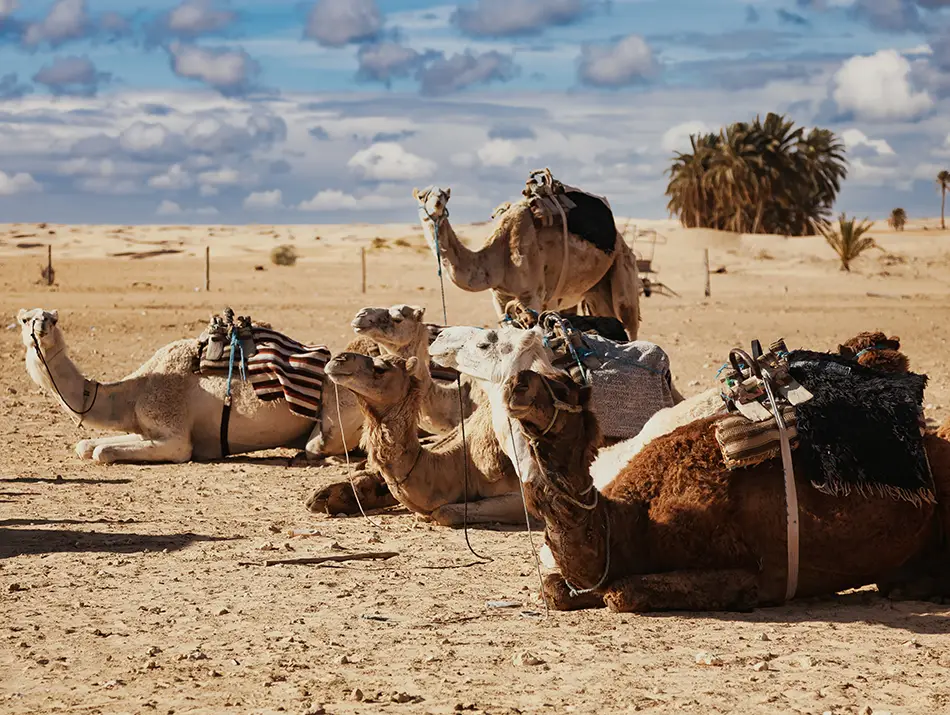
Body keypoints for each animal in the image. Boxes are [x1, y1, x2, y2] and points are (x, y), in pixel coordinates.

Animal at [17, 308, 363, 463]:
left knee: (317, 445)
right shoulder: (145, 429)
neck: (134, 393)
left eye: (53, 319)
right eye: (25, 319)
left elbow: (102, 451)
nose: (41, 326)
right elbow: (85, 445)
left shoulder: (175, 437)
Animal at [413, 186, 641, 340]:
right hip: (595, 289)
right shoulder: (499, 297)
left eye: (444, 196)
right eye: (422, 196)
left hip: (623, 262)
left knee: (628, 319)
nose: (436, 206)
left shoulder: (532, 294)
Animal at [503, 367, 950, 612]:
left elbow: (620, 593)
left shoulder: (747, 569)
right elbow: (553, 589)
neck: (629, 522)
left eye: (562, 386)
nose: (516, 383)